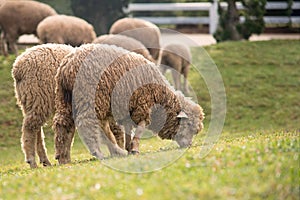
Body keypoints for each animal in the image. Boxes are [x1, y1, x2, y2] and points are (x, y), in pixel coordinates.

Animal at [53, 43, 204, 164]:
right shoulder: (142, 104)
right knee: (87, 124)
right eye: (189, 125)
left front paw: (129, 148)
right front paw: (135, 149)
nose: (188, 145)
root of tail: (68, 66)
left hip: (65, 98)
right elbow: (141, 127)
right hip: (89, 96)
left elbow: (127, 129)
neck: (161, 96)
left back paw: (64, 157)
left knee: (64, 124)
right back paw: (99, 153)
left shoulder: (128, 110)